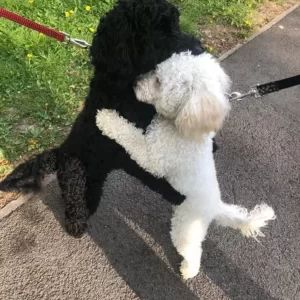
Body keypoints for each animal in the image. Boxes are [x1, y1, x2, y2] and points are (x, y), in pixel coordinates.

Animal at [0, 1, 216, 238]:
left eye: (176, 22)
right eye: (160, 30)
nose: (199, 48)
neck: (121, 90)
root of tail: (59, 151)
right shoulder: (128, 152)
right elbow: (152, 174)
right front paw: (180, 195)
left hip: (95, 176)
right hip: (74, 173)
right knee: (73, 199)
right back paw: (76, 223)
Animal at [96, 51, 276, 278]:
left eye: (158, 81)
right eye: (156, 69)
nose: (135, 82)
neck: (181, 125)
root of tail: (215, 206)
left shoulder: (154, 158)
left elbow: (130, 135)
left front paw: (106, 119)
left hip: (188, 227)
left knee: (192, 250)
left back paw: (189, 270)